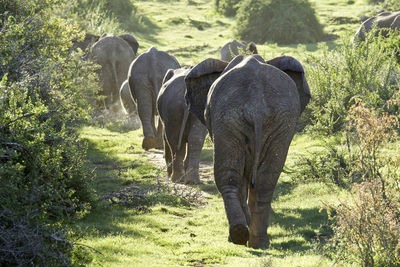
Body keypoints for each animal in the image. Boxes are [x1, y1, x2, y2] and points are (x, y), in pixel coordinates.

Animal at [185, 55, 312, 250]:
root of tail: (256, 105)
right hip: (278, 119)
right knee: (266, 179)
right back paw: (258, 242)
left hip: (228, 118)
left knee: (228, 177)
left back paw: (238, 235)